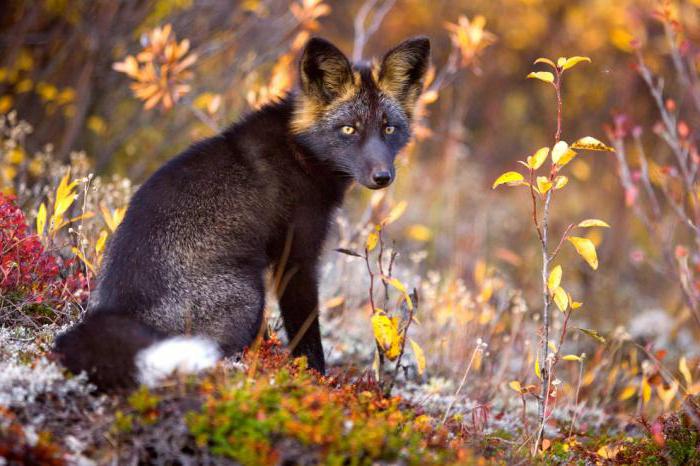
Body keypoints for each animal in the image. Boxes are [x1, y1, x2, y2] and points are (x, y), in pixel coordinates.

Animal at [53, 35, 426, 390]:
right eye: (349, 129)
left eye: (389, 128)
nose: (382, 176)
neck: (300, 151)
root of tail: (119, 312)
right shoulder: (296, 258)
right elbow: (307, 335)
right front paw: (317, 380)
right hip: (250, 296)